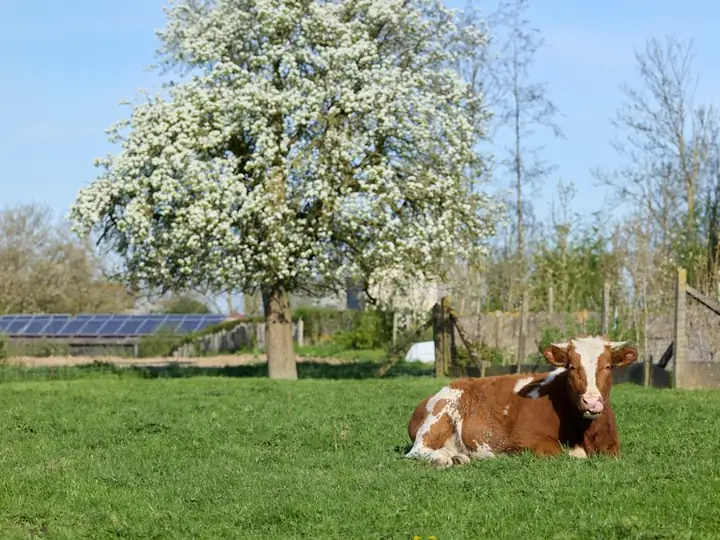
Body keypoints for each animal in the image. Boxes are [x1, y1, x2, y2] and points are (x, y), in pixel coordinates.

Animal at [405, 335, 638, 467]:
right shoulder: (526, 440)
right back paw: (442, 459)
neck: (585, 432)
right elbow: (560, 453)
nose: (591, 402)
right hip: (440, 413)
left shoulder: (612, 447)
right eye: (572, 367)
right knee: (416, 451)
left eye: (608, 366)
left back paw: (457, 457)